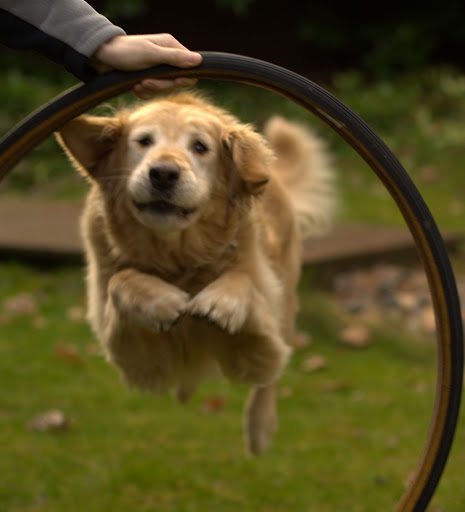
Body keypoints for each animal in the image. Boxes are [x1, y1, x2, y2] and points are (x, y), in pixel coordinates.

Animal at [56, 94, 336, 454]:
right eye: (144, 141)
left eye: (200, 147)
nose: (163, 173)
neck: (178, 257)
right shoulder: (135, 357)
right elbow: (121, 280)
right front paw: (161, 301)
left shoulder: (258, 346)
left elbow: (244, 284)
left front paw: (220, 302)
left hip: (286, 303)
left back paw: (259, 427)